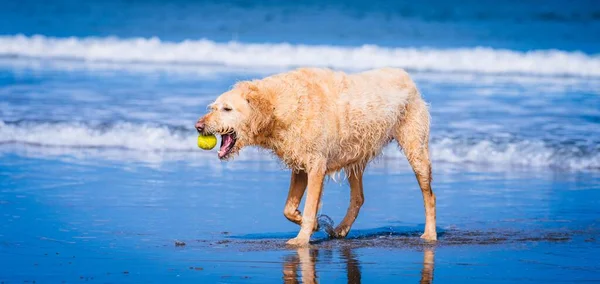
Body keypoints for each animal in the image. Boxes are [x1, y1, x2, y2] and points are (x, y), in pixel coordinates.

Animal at [197, 67, 436, 245]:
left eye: (227, 109)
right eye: (214, 107)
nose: (198, 126)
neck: (278, 106)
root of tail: (406, 76)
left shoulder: (316, 165)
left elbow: (311, 205)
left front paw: (302, 238)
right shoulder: (300, 166)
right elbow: (288, 209)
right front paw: (311, 224)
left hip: (416, 148)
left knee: (429, 195)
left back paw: (430, 234)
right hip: (355, 156)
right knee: (358, 197)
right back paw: (341, 229)